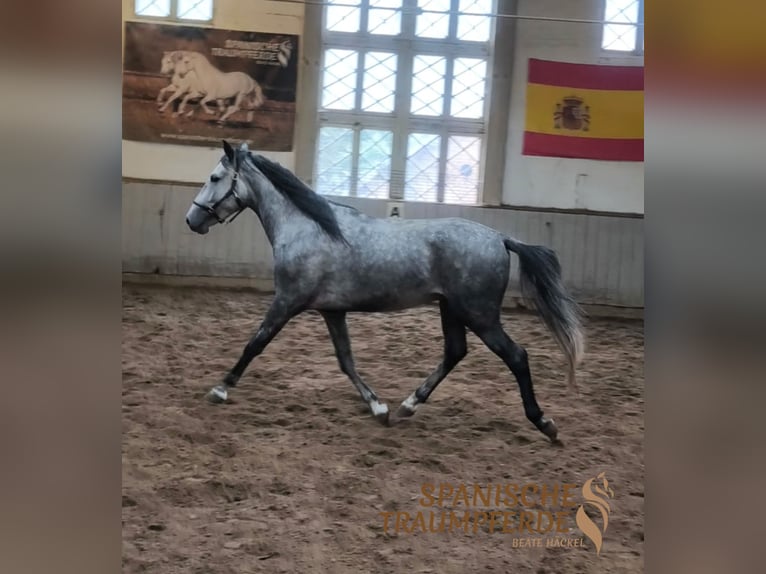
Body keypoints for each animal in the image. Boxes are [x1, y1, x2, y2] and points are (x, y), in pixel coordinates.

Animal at [184, 141, 585, 442]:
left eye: (215, 177)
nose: (192, 219)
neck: (307, 228)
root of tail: (501, 239)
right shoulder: (332, 311)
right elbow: (346, 360)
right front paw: (379, 408)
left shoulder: (287, 301)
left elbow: (255, 344)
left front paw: (220, 389)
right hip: (452, 310)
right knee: (455, 352)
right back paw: (409, 404)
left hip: (480, 314)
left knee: (516, 356)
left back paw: (545, 423)